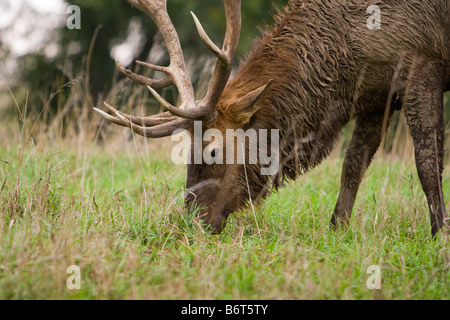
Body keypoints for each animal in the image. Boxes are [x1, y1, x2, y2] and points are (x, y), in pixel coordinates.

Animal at [93, 0, 448, 235]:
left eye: (213, 150)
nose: (193, 221)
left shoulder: (425, 59)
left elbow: (427, 163)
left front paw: (439, 232)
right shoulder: (377, 95)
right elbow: (353, 166)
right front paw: (337, 228)